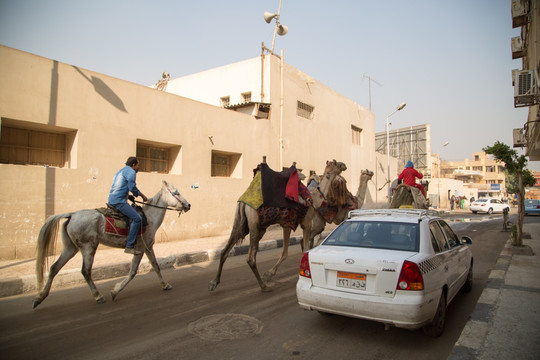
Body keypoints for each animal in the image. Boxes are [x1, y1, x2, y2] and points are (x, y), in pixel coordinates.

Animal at [33, 181, 190, 308]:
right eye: (177, 193)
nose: (188, 205)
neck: (149, 218)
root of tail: (71, 215)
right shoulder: (140, 249)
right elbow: (133, 272)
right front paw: (115, 291)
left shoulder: (148, 247)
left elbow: (156, 266)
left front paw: (165, 285)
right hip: (89, 246)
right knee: (85, 271)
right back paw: (98, 296)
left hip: (70, 248)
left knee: (54, 268)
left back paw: (40, 298)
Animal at [208, 159, 346, 292]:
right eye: (337, 163)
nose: (344, 165)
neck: (314, 198)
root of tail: (244, 203)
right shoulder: (306, 223)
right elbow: (304, 249)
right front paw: (269, 276)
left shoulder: (286, 224)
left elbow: (285, 252)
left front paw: (268, 274)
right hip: (254, 224)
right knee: (250, 258)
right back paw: (264, 286)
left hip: (242, 223)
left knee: (224, 251)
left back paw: (214, 282)